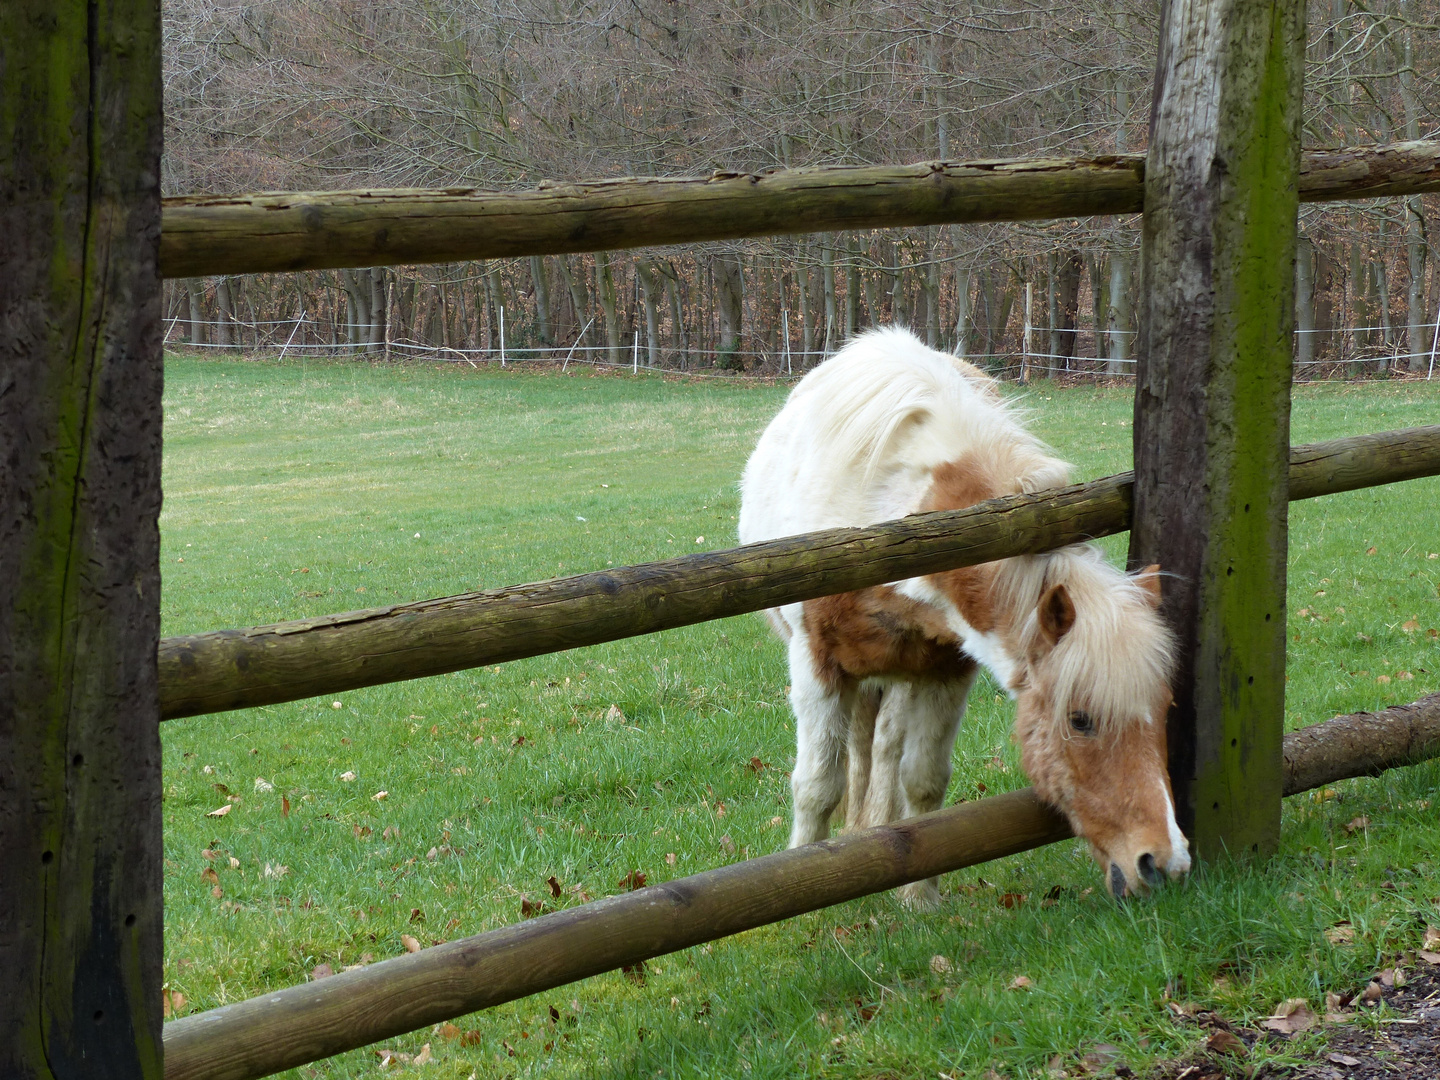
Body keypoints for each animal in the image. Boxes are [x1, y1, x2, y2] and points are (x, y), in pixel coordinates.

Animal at [737, 328, 1186, 904]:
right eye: (1080, 720)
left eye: (1164, 706)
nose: (1165, 861)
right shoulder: (817, 662)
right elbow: (816, 786)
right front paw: (807, 890)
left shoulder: (946, 669)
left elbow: (923, 781)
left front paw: (918, 898)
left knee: (884, 746)